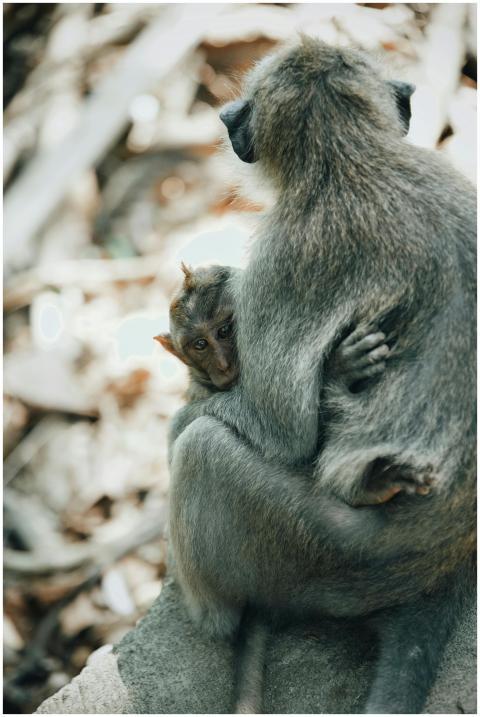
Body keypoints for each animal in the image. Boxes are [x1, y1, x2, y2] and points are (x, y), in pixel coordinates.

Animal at [167, 39, 476, 715]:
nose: (227, 119)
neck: (351, 157)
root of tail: (441, 561)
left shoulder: (284, 256)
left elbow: (282, 432)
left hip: (321, 553)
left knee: (201, 450)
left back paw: (210, 616)